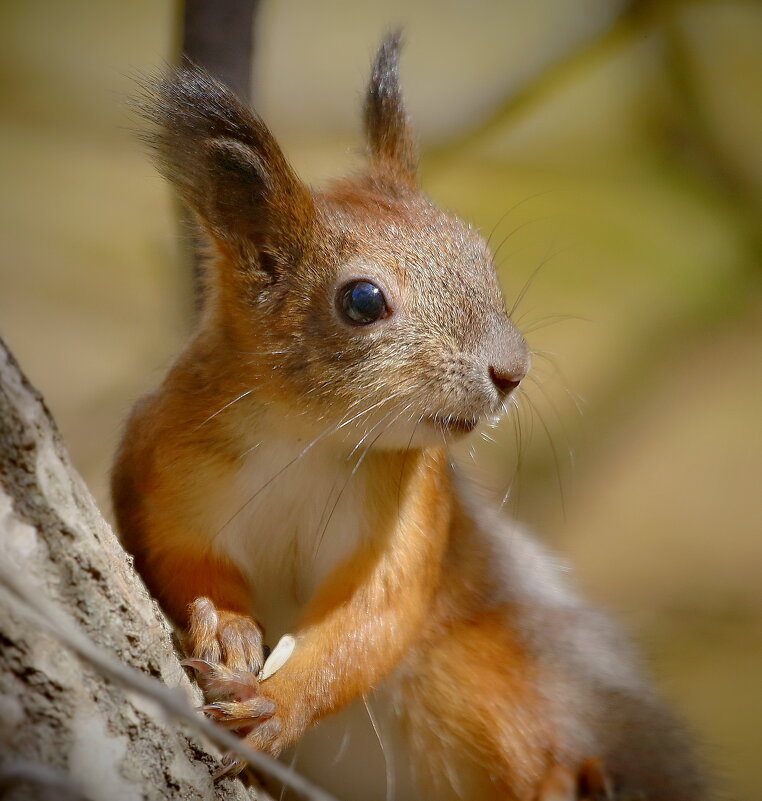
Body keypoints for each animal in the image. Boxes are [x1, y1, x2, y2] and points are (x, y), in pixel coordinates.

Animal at [111, 32, 708, 800]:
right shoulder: (167, 461)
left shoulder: (419, 508)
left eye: (479, 252)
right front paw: (228, 626)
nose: (512, 370)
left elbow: (373, 617)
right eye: (362, 301)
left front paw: (279, 703)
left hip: (487, 673)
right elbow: (175, 553)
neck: (307, 439)